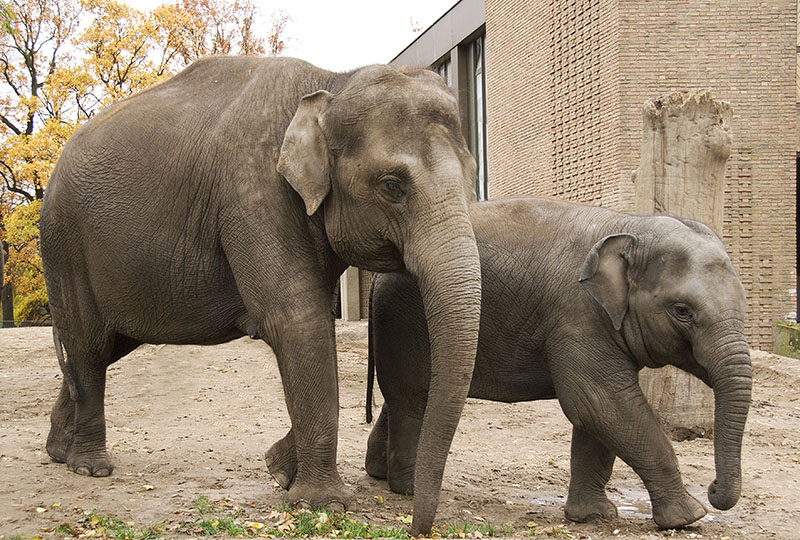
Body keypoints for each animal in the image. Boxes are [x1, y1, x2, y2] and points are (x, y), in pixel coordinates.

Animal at [40, 56, 482, 536]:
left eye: (473, 176)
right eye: (391, 185)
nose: (416, 527)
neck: (333, 82)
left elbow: (310, 329)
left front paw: (279, 470)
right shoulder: (253, 195)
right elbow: (297, 321)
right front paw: (322, 503)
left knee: (105, 348)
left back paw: (59, 453)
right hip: (65, 245)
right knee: (88, 344)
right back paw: (90, 467)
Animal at [366, 197, 752, 528]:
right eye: (682, 311)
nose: (713, 488)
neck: (630, 226)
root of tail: (378, 276)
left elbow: (598, 414)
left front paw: (593, 516)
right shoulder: (578, 314)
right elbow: (599, 401)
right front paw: (689, 517)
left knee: (404, 396)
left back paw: (379, 472)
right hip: (404, 316)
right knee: (413, 398)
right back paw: (408, 485)